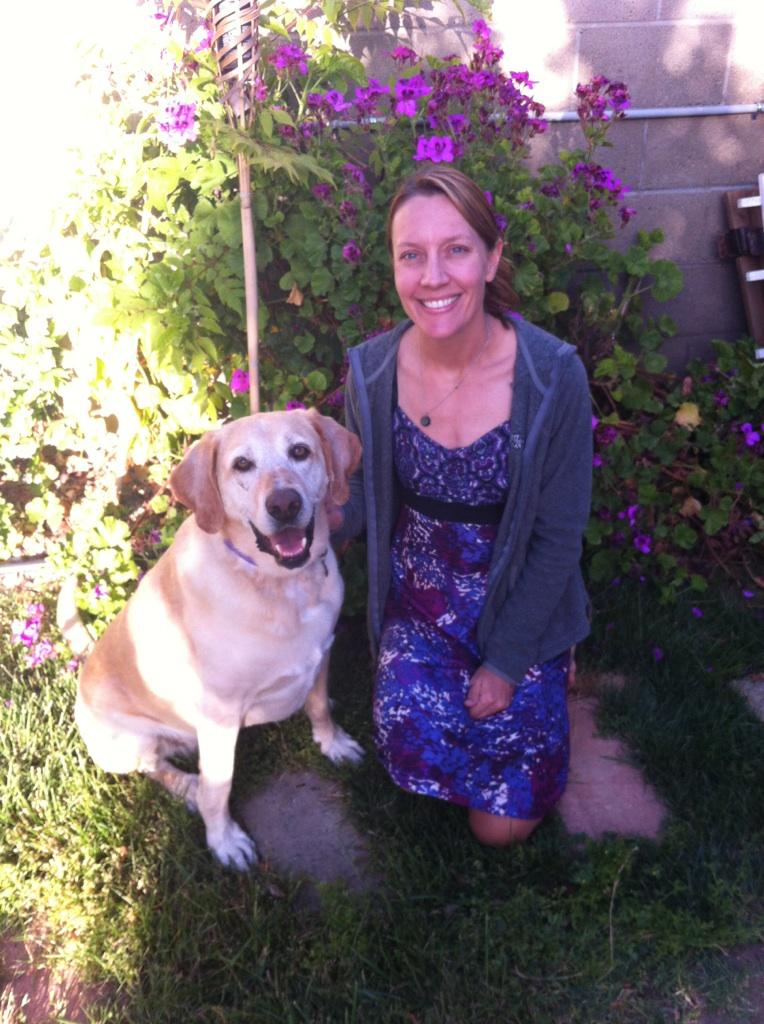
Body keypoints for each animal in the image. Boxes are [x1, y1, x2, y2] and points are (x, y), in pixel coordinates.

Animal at [75, 408, 363, 870]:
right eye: (241, 464)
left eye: (300, 451)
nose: (284, 504)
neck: (278, 584)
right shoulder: (219, 716)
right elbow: (219, 788)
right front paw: (224, 841)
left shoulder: (323, 653)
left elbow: (318, 706)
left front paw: (333, 743)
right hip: (130, 741)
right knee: (154, 767)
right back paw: (188, 786)